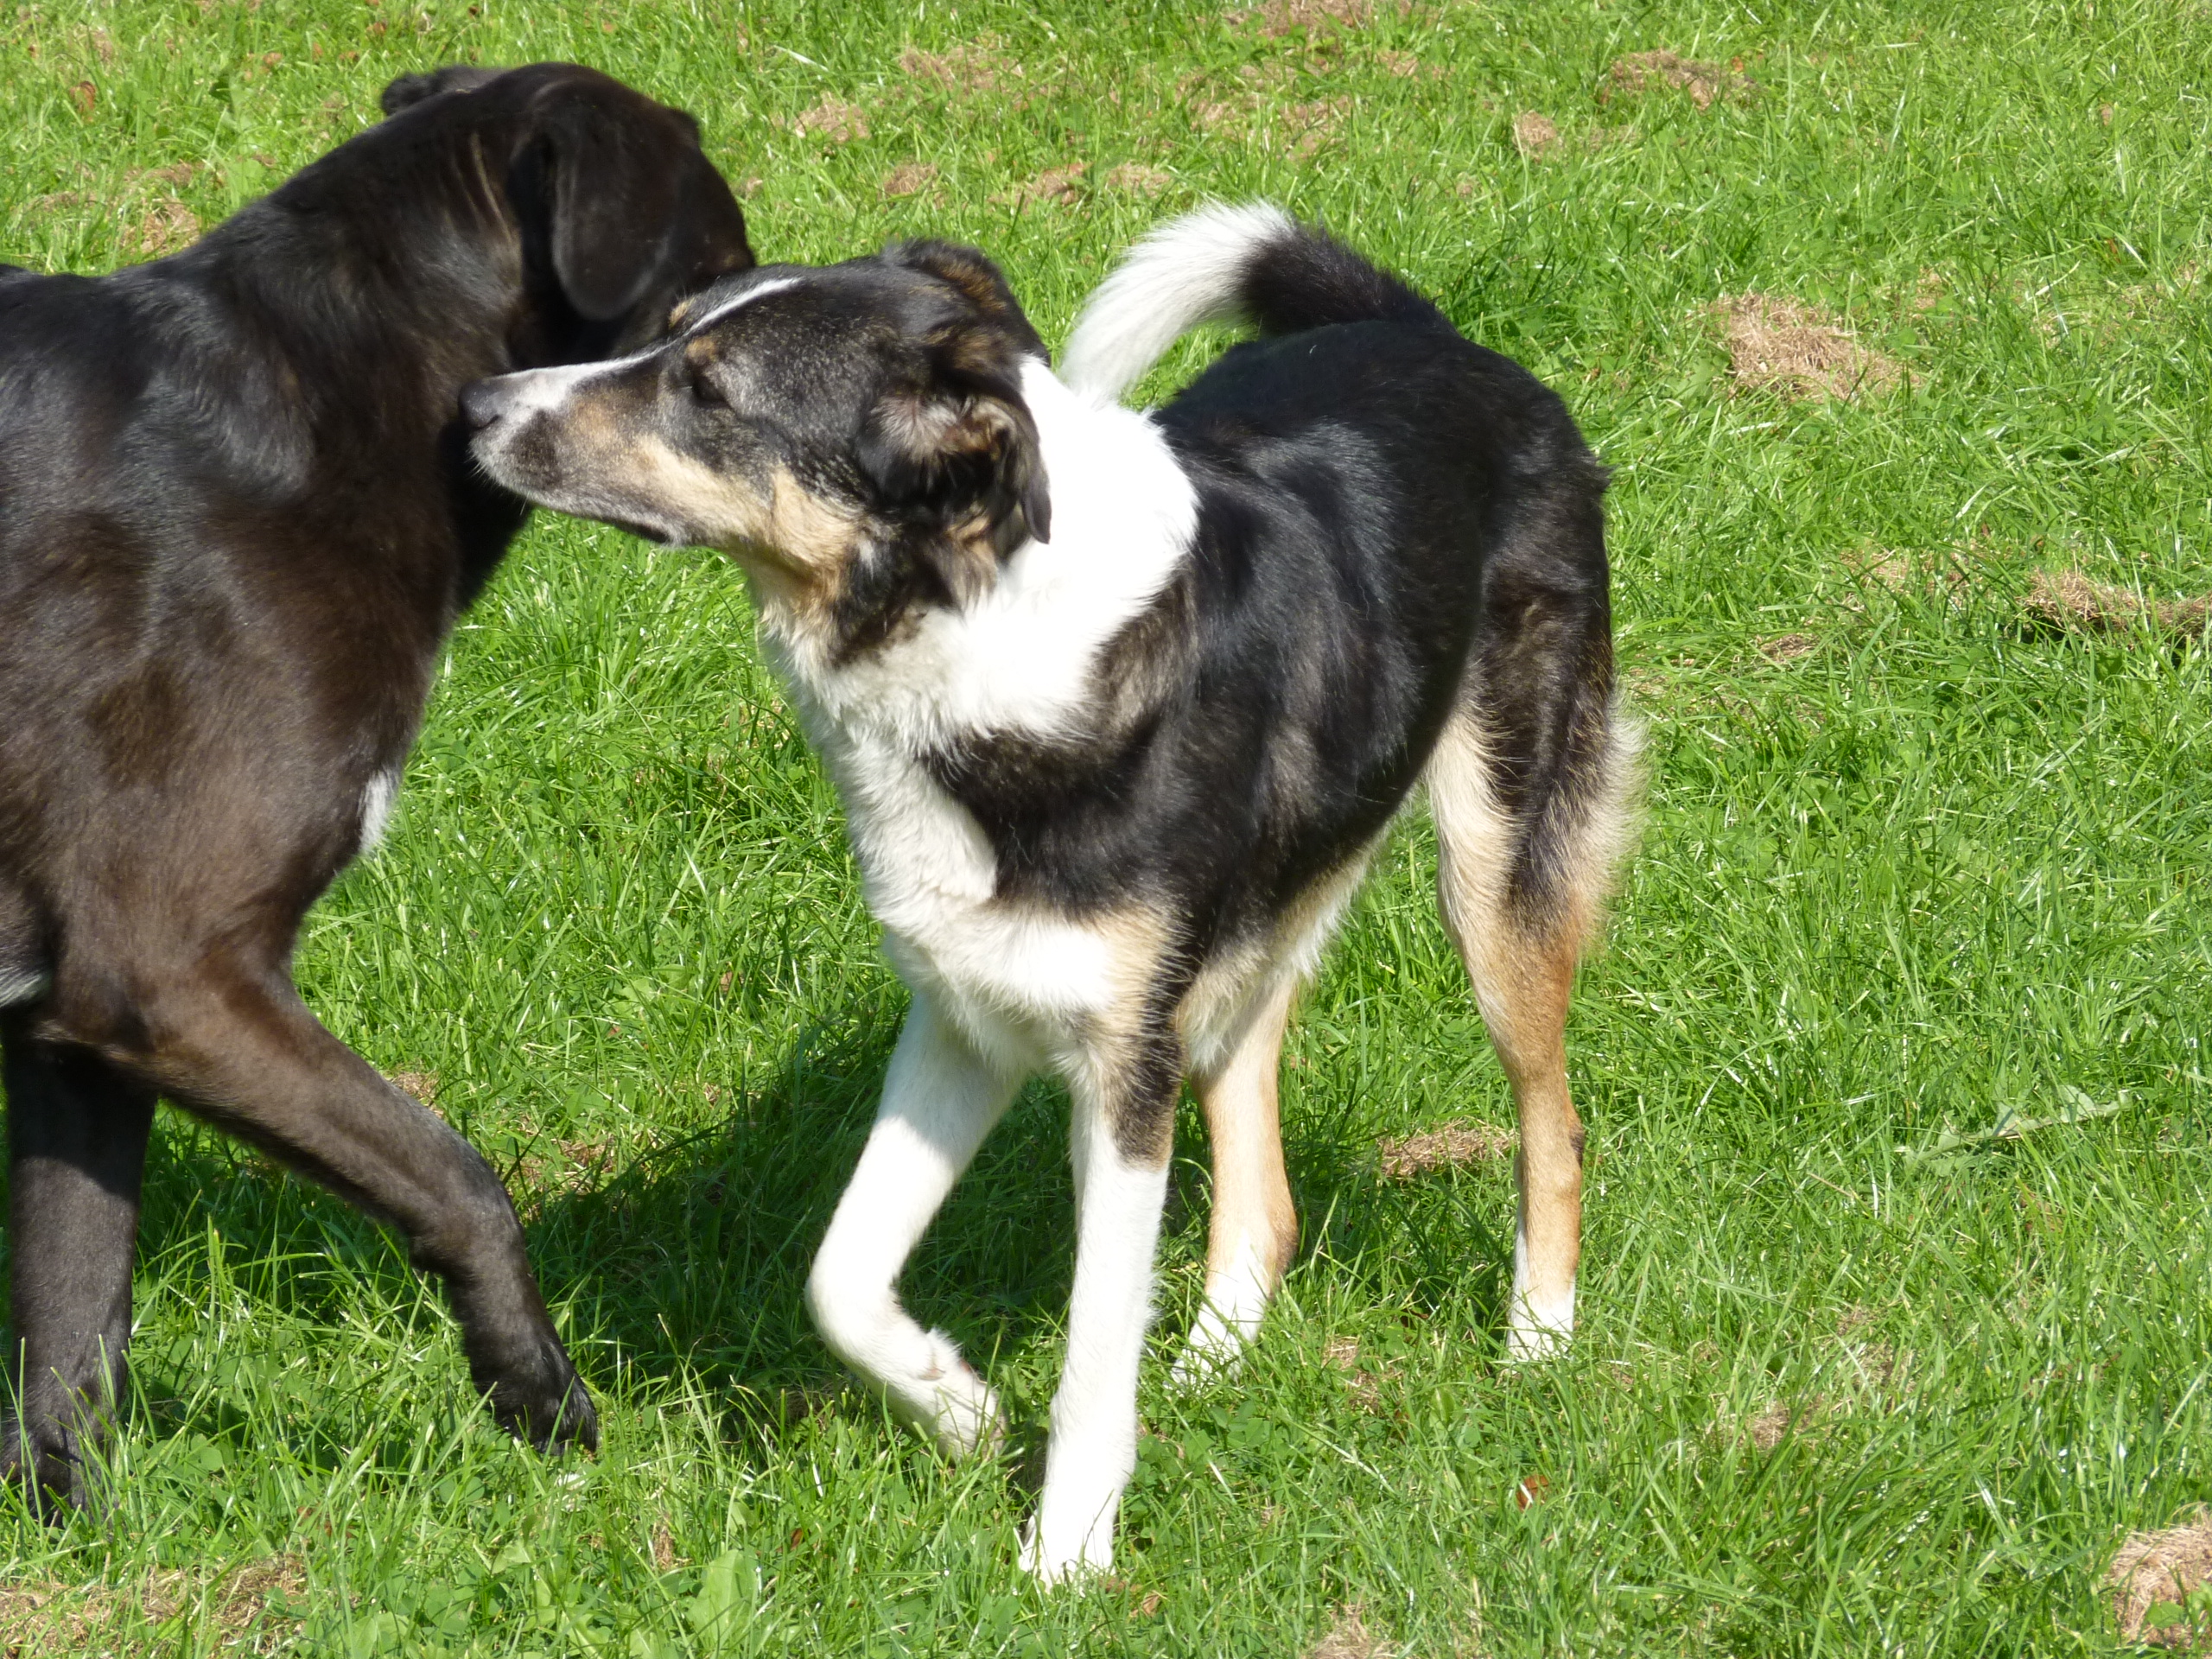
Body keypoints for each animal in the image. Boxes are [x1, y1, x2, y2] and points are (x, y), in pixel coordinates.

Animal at [0, 62, 753, 1507]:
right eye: (703, 296)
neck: (329, 399)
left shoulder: (80, 1025)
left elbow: (75, 1312)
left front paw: (72, 1520)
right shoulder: (174, 975)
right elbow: (460, 1179)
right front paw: (539, 1394)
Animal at [460, 204, 1635, 1580]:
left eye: (706, 392)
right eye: (666, 336)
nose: (476, 403)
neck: (974, 641)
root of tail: (1428, 334)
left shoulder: (1121, 1067)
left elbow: (1088, 1350)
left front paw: (1067, 1556)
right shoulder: (964, 1021)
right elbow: (839, 1277)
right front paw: (959, 1408)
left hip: (1497, 868)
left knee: (1552, 1121)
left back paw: (1537, 1341)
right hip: (1258, 915)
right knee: (1261, 1151)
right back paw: (1216, 1357)